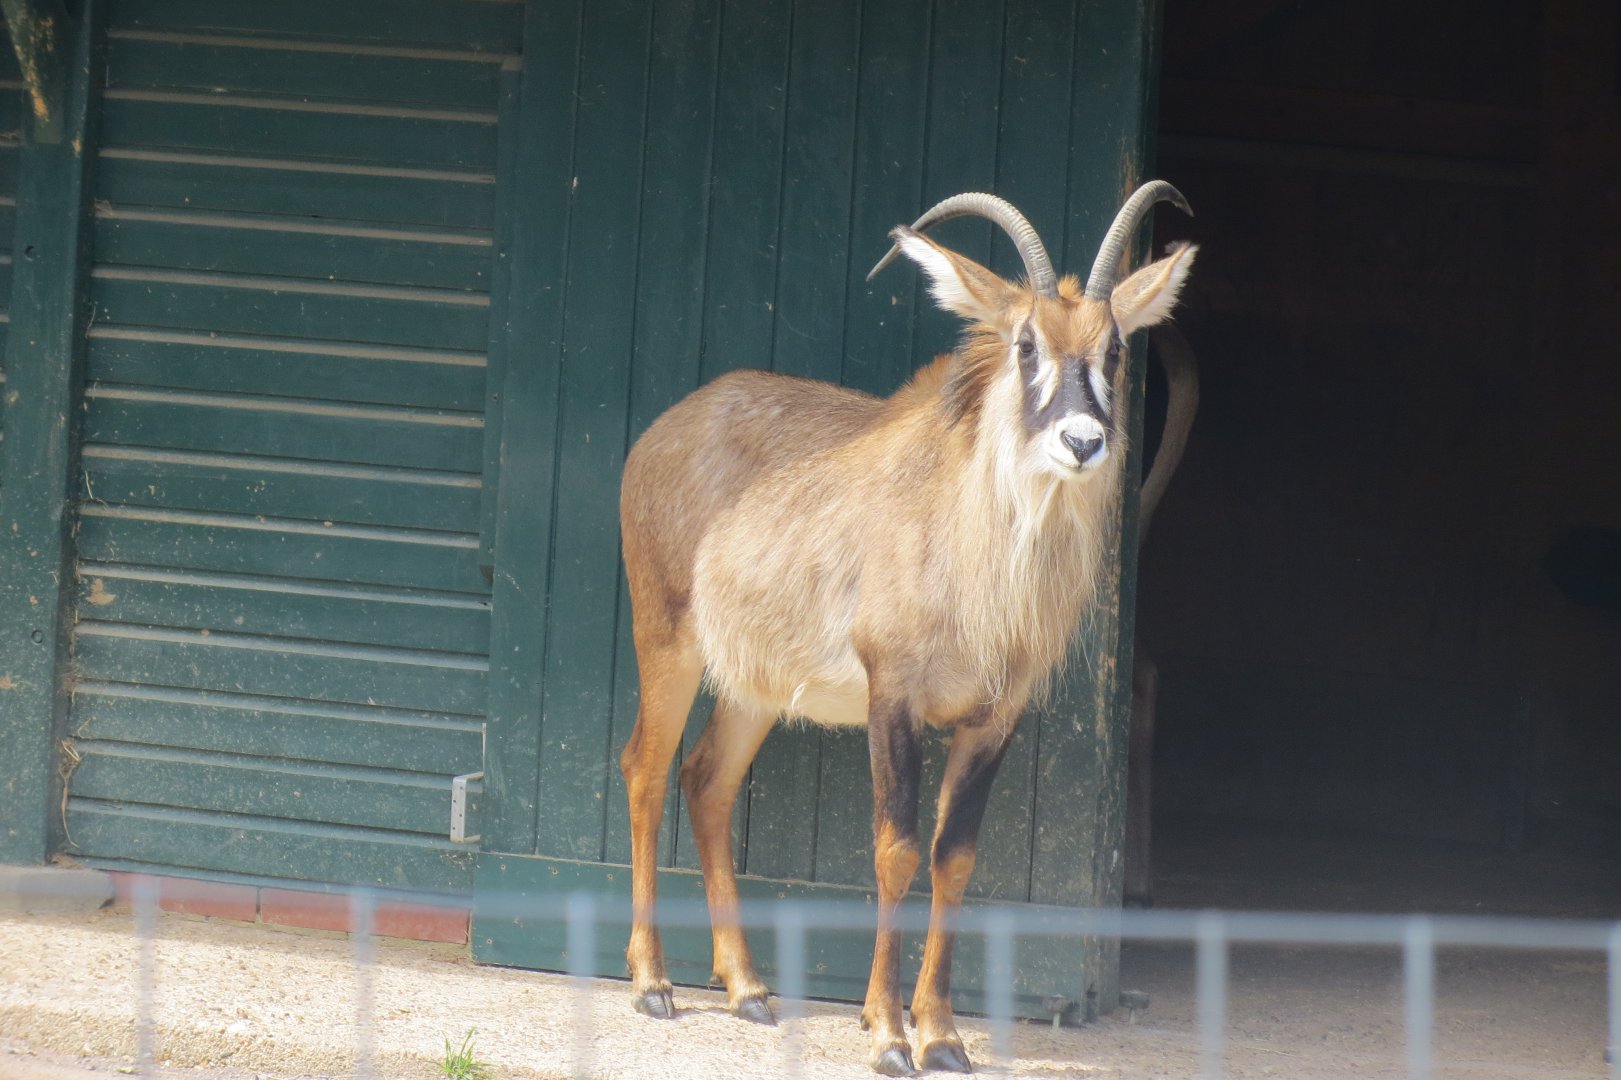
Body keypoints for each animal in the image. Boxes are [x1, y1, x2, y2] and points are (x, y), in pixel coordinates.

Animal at [619, 182, 1196, 1075]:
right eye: (1025, 344)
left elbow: (952, 857)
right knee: (646, 771)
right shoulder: (892, 696)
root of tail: (663, 431)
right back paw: (651, 983)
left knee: (706, 780)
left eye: (1113, 350)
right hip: (667, 644)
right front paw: (890, 1035)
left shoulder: (993, 716)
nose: (1082, 441)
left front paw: (941, 1033)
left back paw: (748, 989)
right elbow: (894, 849)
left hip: (754, 689)